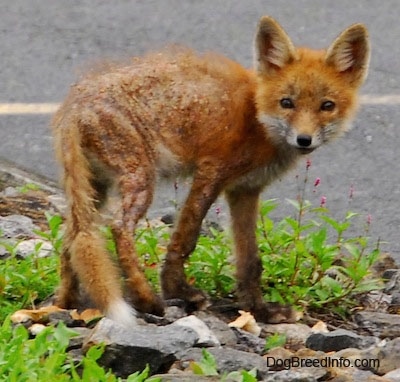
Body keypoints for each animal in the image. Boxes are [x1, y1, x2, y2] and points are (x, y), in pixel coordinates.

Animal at [51, 14, 370, 326]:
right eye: (287, 103)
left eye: (326, 106)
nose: (304, 139)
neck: (256, 119)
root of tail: (75, 103)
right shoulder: (211, 173)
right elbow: (185, 238)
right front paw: (178, 291)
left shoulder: (245, 190)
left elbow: (249, 260)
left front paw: (259, 311)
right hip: (140, 179)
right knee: (117, 228)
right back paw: (147, 300)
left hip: (96, 190)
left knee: (74, 236)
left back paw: (68, 303)